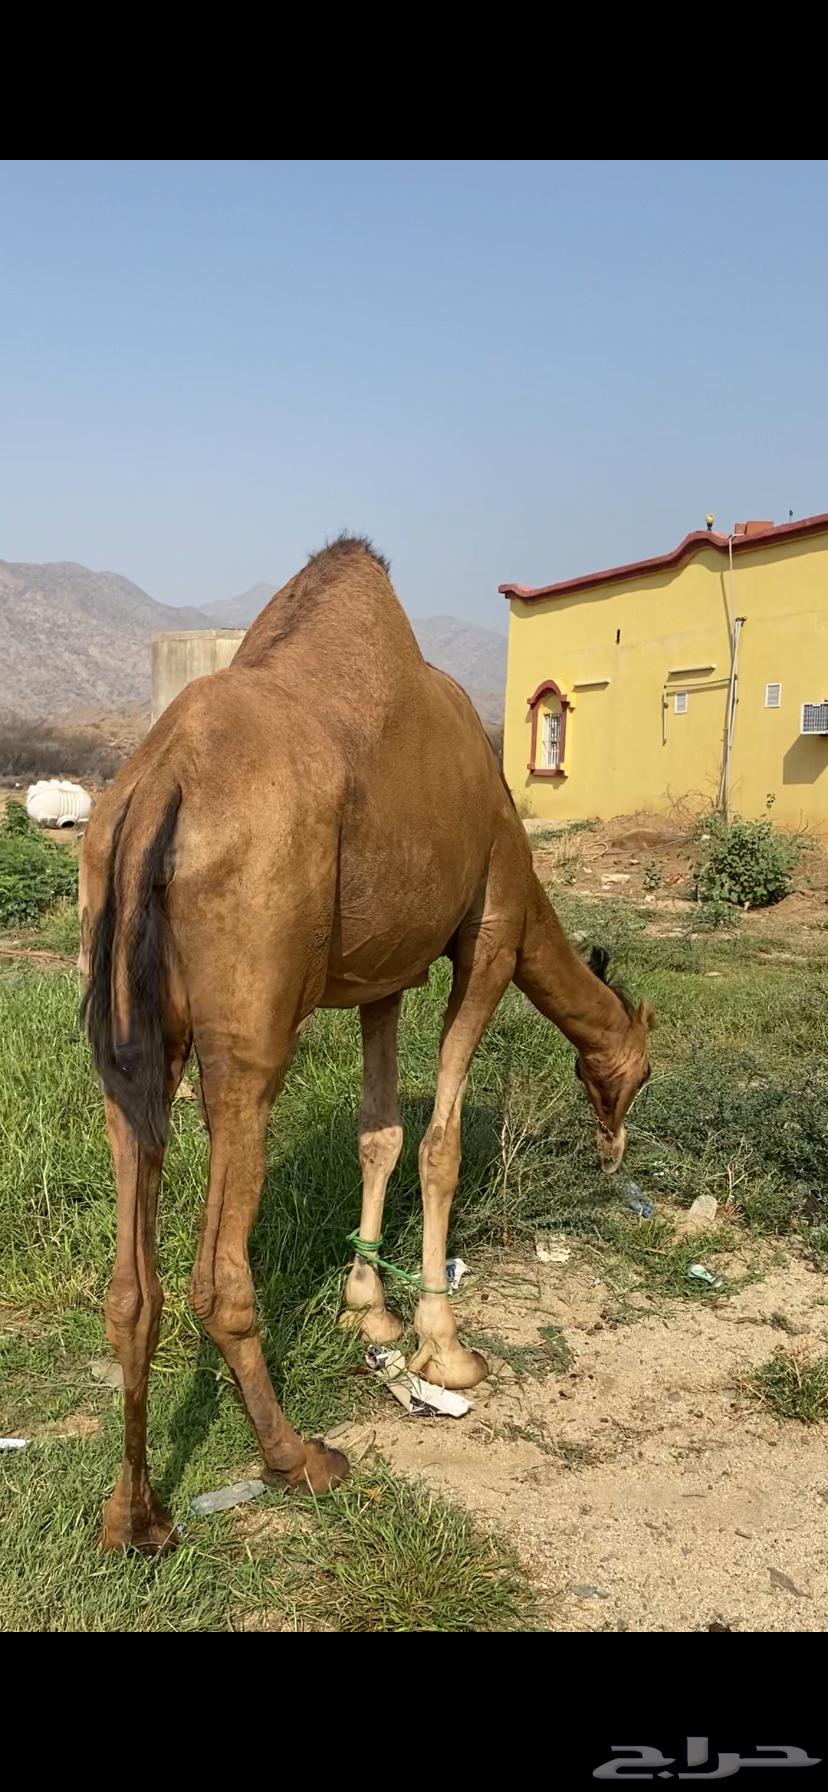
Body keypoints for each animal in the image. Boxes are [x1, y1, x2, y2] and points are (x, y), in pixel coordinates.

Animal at [79, 536, 653, 1553]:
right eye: (640, 1072)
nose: (613, 1147)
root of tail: (153, 792)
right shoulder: (491, 932)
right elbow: (439, 1144)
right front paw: (446, 1349)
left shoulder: (384, 977)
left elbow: (378, 1134)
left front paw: (371, 1314)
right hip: (251, 1029)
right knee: (217, 1275)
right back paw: (299, 1460)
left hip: (127, 1035)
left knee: (129, 1285)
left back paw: (134, 1520)